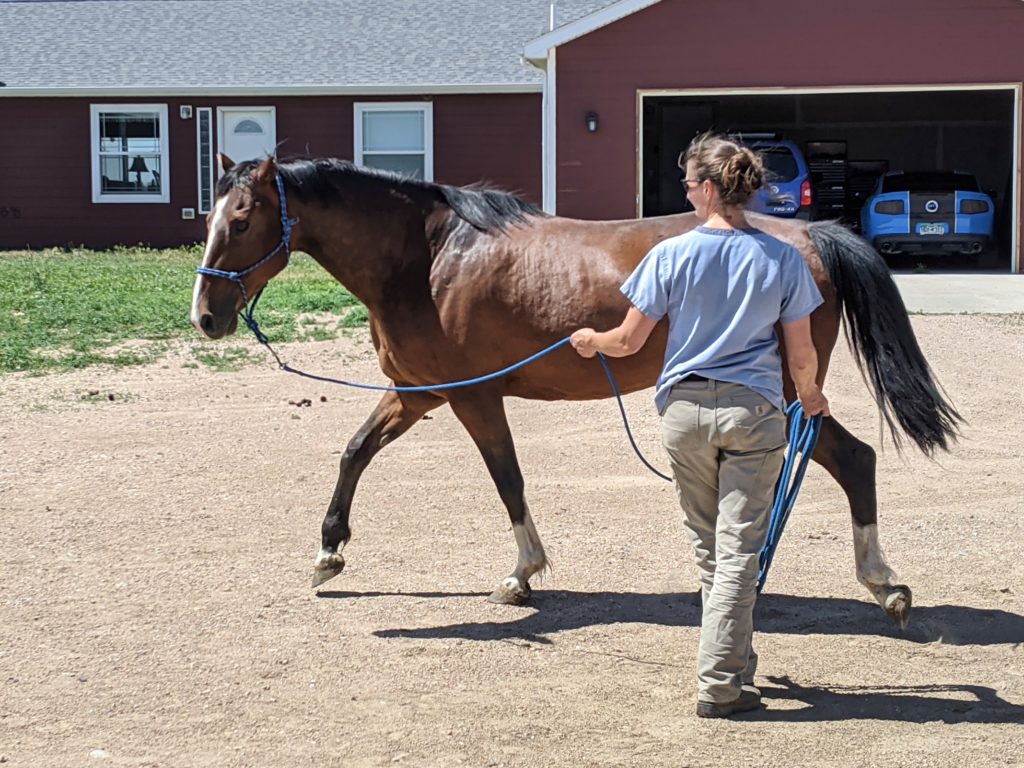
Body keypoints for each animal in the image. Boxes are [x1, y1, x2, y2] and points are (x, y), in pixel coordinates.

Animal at [190, 153, 958, 626]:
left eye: (242, 220)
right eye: (208, 219)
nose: (205, 316)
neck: (428, 258)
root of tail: (812, 235)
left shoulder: (472, 396)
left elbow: (508, 479)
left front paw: (522, 573)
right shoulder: (418, 393)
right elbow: (355, 452)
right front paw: (329, 552)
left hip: (790, 397)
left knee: (853, 460)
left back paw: (882, 584)